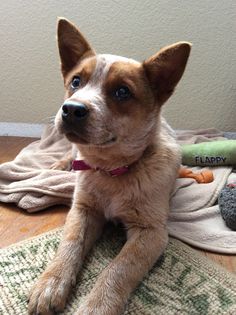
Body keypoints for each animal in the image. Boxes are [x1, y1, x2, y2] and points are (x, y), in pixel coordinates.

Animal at [28, 17, 190, 315]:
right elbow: (69, 244)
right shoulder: (83, 209)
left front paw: (96, 306)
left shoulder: (151, 232)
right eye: (76, 81)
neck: (110, 171)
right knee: (68, 154)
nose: (71, 109)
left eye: (122, 91)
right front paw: (51, 283)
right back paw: (57, 166)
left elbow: (119, 268)